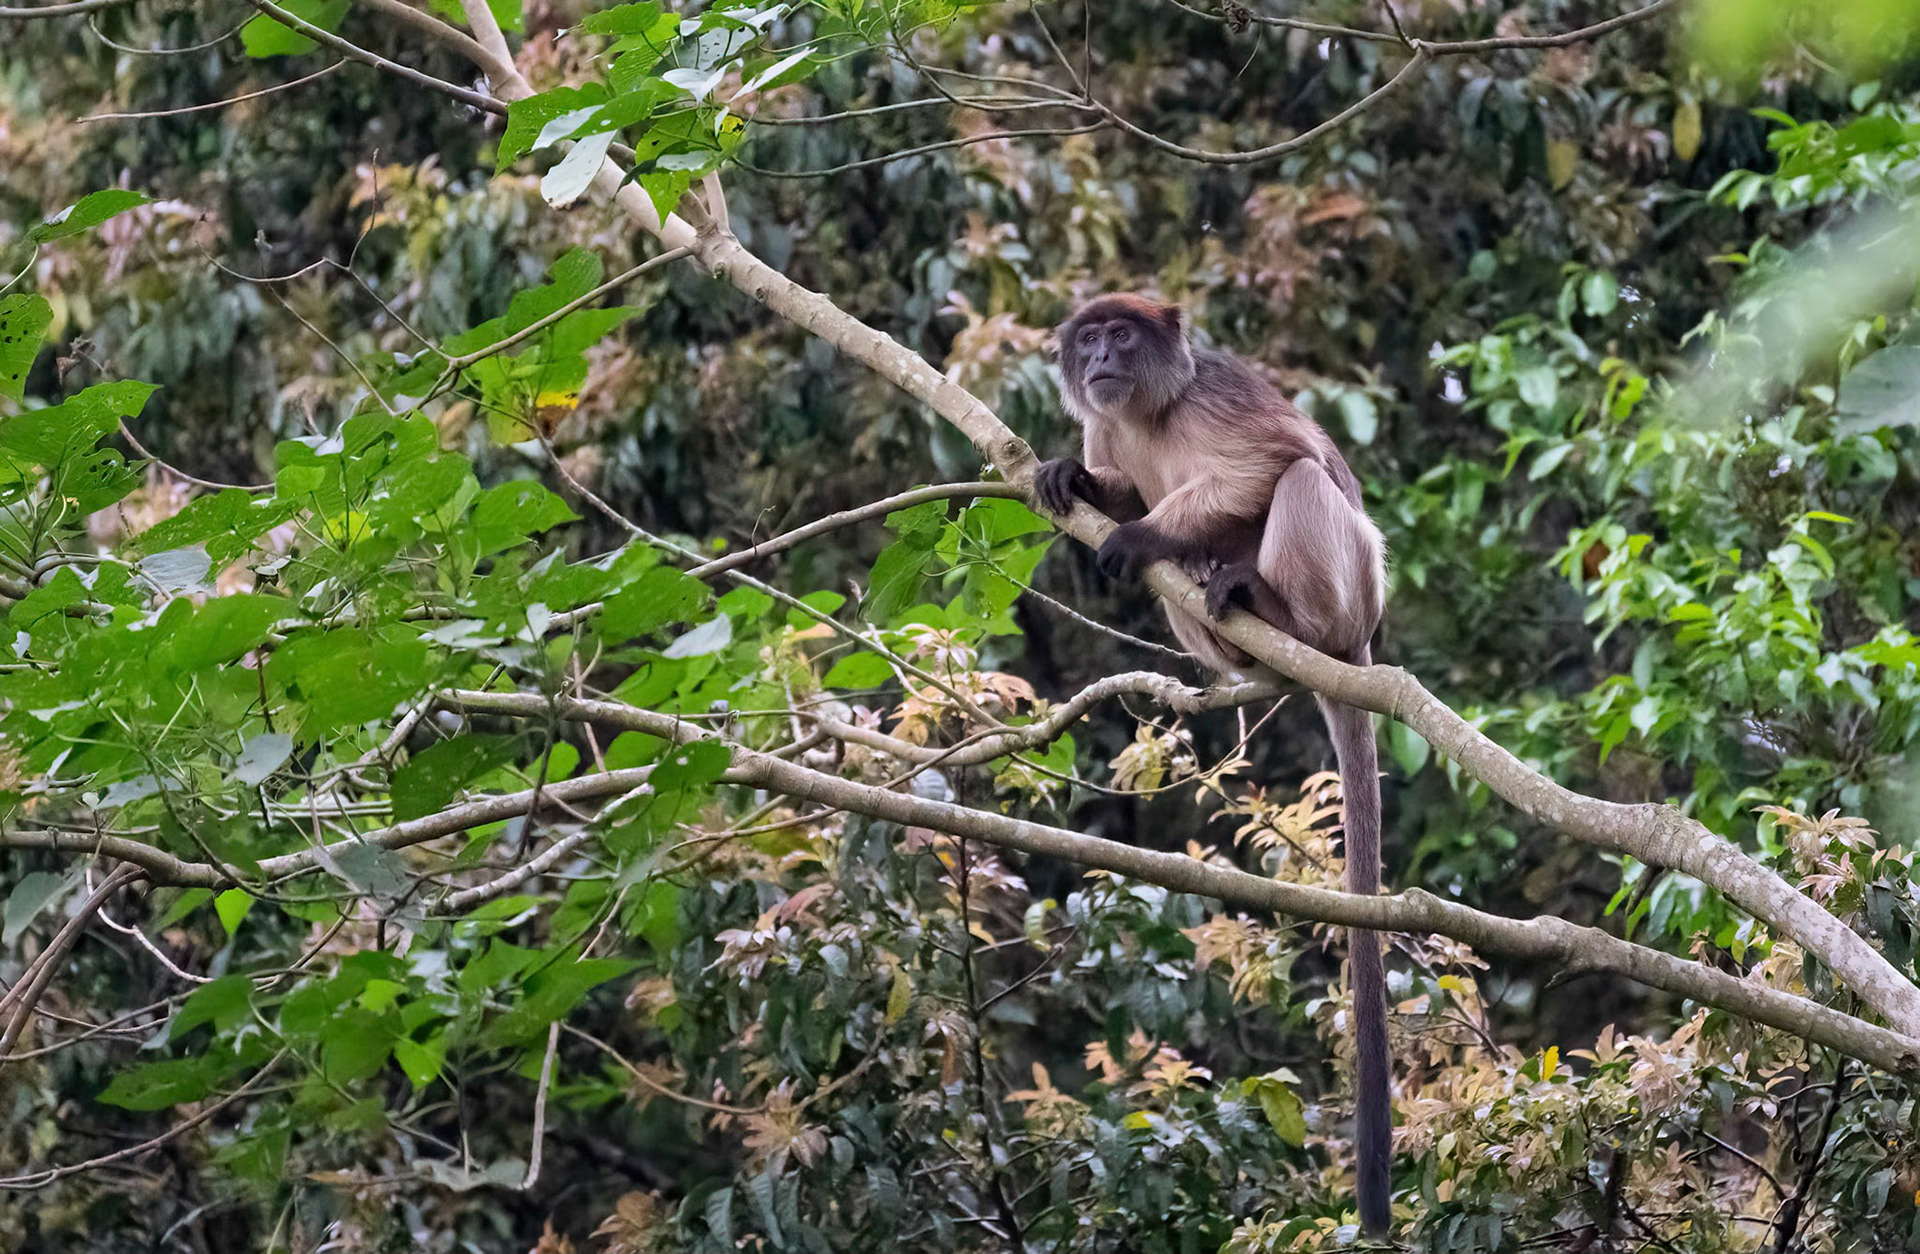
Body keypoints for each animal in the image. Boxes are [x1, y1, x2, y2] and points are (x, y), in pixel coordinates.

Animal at [1034, 293, 1391, 1237]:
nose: (1100, 358)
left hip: (1357, 592)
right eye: (1090, 340)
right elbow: (1108, 477)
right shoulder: (1107, 424)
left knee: (1301, 481)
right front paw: (1080, 482)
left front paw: (1139, 530)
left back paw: (1273, 610)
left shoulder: (1216, 399)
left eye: (1122, 336)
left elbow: (1274, 457)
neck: (1148, 411)